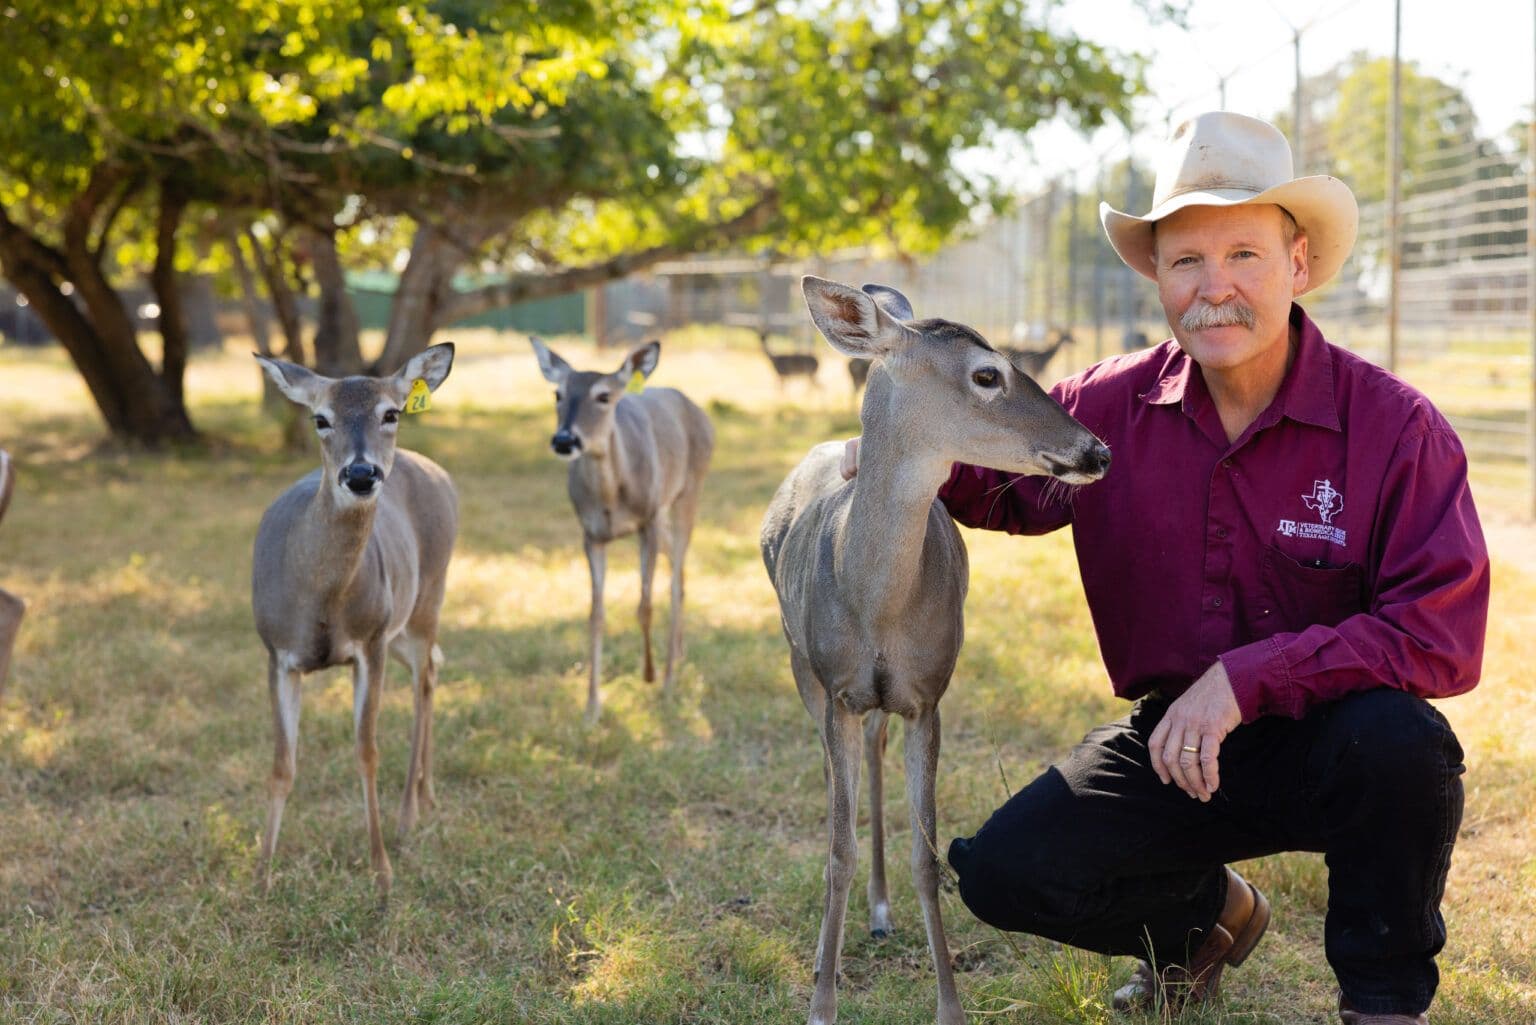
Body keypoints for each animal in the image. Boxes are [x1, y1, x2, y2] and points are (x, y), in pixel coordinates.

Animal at [248, 342, 454, 897]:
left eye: (392, 413)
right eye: (320, 418)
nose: (361, 475)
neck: (320, 600)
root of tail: (435, 469)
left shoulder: (370, 643)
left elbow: (366, 753)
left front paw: (381, 871)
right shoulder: (276, 653)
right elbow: (281, 764)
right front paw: (262, 875)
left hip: (427, 597)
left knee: (425, 680)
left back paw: (409, 813)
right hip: (403, 625)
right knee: (433, 669)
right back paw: (427, 794)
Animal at [531, 336, 715, 722]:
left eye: (603, 396)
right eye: (557, 394)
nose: (565, 440)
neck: (611, 498)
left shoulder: (648, 521)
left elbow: (644, 605)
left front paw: (650, 675)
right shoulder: (590, 536)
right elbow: (595, 614)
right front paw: (591, 707)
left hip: (689, 489)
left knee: (674, 580)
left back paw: (671, 675)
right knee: (679, 571)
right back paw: (678, 652)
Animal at [761, 278, 1112, 1025]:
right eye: (987, 374)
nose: (1097, 452)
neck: (876, 601)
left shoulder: (929, 694)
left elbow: (928, 856)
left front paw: (949, 1005)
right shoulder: (836, 687)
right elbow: (836, 847)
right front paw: (821, 1002)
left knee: (874, 748)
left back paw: (881, 910)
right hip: (800, 663)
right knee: (837, 773)